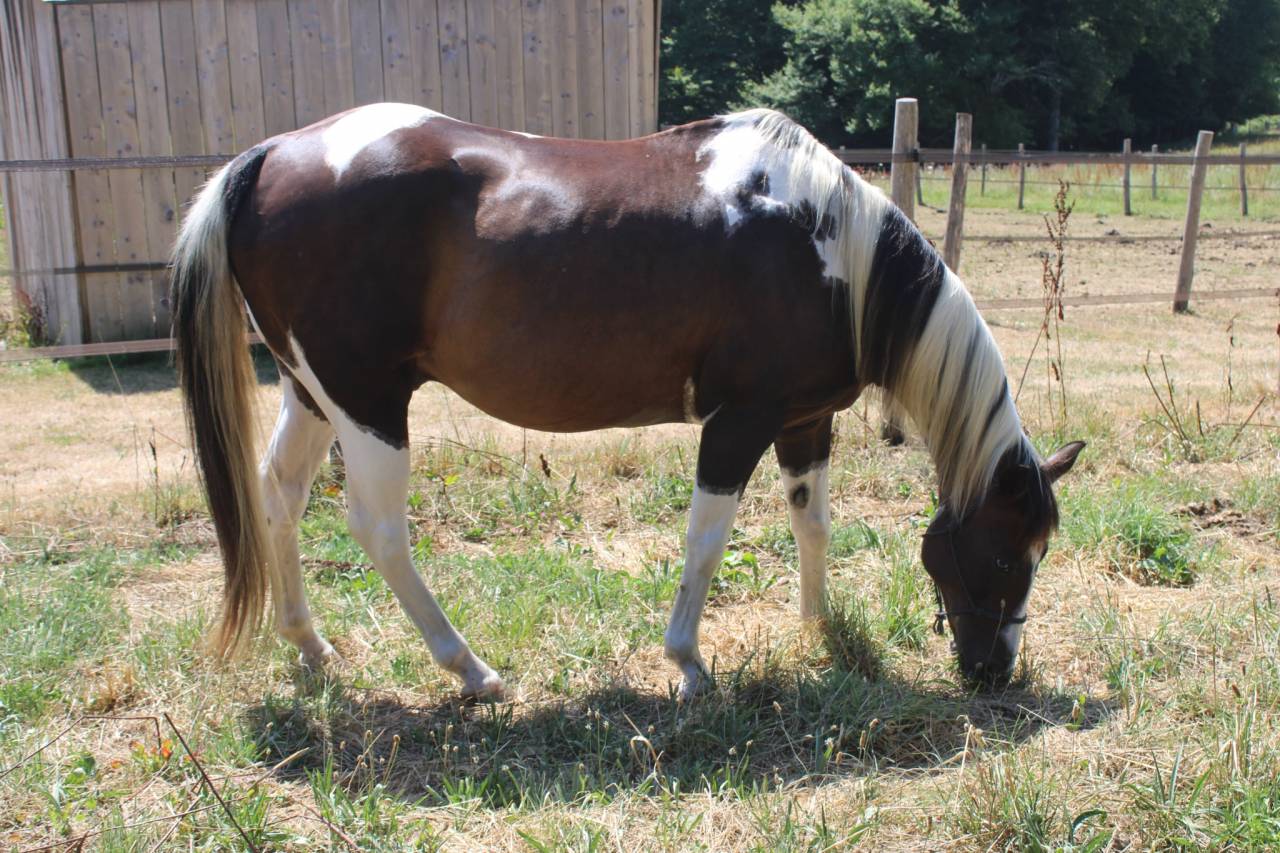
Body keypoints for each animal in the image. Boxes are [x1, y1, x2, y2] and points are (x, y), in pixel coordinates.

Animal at [171, 104, 1083, 701]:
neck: (830, 249)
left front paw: (821, 630)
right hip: (367, 403)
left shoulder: (804, 421)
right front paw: (688, 664)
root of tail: (273, 153)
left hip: (311, 392)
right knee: (380, 529)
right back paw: (472, 670)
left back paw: (311, 647)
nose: (996, 670)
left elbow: (813, 524)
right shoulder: (740, 423)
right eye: (1012, 555)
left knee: (280, 495)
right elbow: (705, 541)